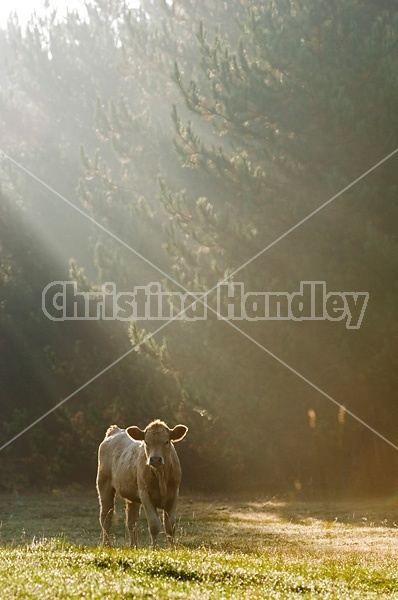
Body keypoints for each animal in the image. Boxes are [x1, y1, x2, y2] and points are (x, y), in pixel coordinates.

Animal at [97, 420, 189, 548]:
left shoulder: (174, 494)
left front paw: (172, 548)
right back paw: (106, 544)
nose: (155, 459)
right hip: (104, 485)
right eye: (146, 442)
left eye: (166, 442)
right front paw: (154, 548)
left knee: (131, 521)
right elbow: (154, 525)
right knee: (106, 517)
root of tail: (115, 430)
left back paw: (134, 546)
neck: (161, 476)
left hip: (132, 496)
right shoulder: (145, 495)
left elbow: (170, 526)